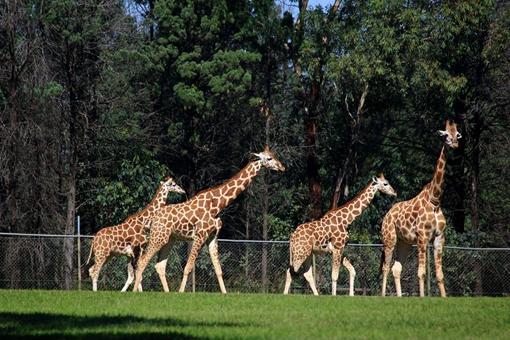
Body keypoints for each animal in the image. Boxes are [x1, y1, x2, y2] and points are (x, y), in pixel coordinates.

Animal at [132, 145, 286, 292]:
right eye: (269, 158)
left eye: (274, 155)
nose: (282, 167)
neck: (217, 205)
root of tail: (152, 219)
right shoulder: (200, 235)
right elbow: (188, 267)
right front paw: (181, 292)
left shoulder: (212, 237)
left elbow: (218, 270)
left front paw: (225, 293)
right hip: (158, 236)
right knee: (142, 262)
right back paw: (134, 291)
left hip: (169, 239)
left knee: (159, 265)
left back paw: (166, 293)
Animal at [380, 120, 464, 298]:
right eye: (446, 135)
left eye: (457, 134)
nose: (455, 144)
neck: (435, 200)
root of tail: (387, 215)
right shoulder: (422, 237)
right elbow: (421, 273)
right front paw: (422, 298)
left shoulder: (439, 238)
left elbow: (440, 274)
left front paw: (444, 298)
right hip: (389, 239)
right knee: (385, 267)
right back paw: (382, 296)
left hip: (403, 242)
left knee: (396, 269)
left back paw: (399, 297)